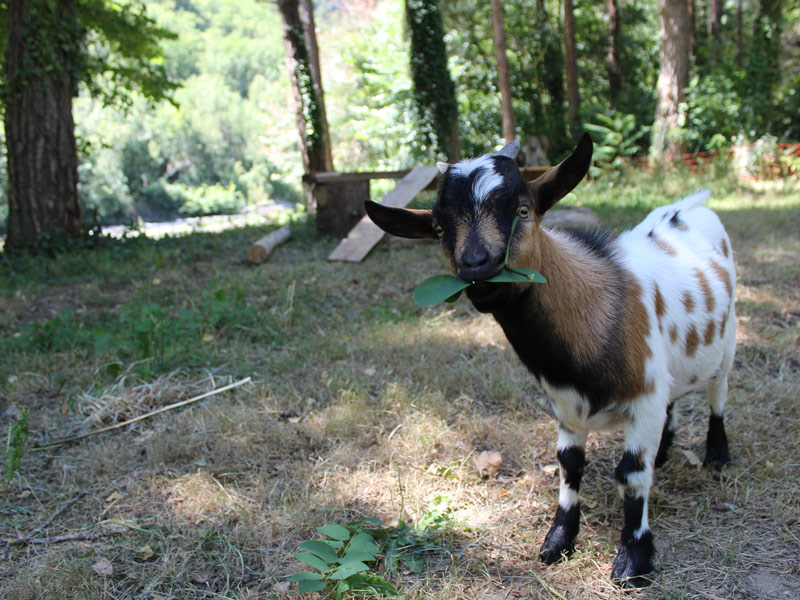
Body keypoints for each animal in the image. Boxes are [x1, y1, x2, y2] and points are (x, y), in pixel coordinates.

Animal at [366, 135, 736, 584]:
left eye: (523, 210)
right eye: (439, 228)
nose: (477, 265)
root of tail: (690, 206)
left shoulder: (644, 397)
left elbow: (631, 473)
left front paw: (634, 559)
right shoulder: (566, 405)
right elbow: (569, 464)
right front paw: (558, 540)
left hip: (727, 341)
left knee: (718, 395)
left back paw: (717, 455)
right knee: (676, 399)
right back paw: (665, 449)